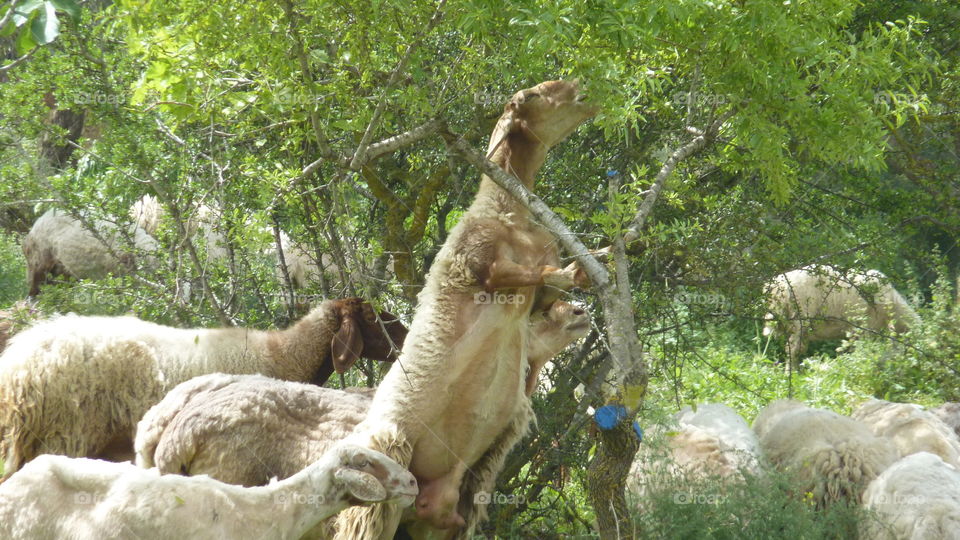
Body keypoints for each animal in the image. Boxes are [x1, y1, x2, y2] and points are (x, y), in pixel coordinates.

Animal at [334, 80, 597, 539]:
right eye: (535, 95)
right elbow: (530, 273)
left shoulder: (536, 293)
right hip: (381, 487)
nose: (584, 90)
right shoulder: (482, 267)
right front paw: (578, 268)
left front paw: (589, 266)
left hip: (441, 517)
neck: (511, 217)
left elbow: (550, 279)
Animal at [762, 265, 919, 370]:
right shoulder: (864, 326)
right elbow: (862, 348)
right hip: (801, 316)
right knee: (793, 349)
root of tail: (779, 286)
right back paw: (792, 372)